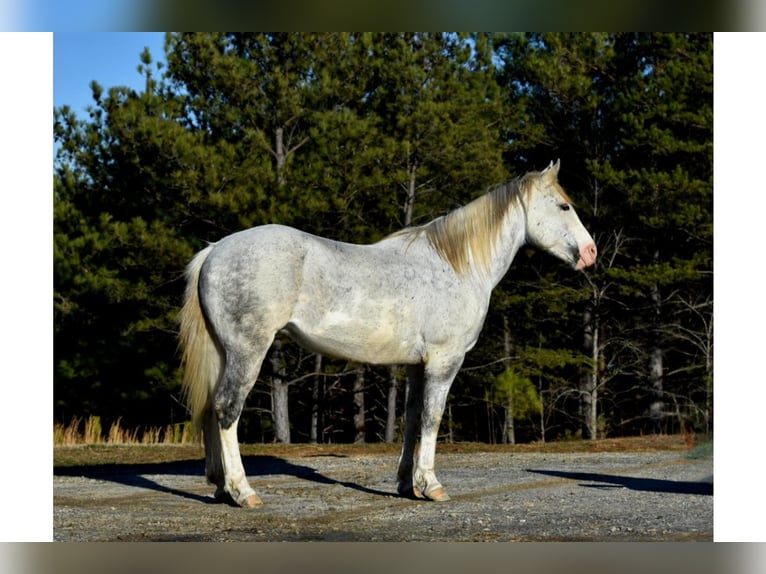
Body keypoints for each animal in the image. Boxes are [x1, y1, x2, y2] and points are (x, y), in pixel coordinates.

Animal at [182, 161, 600, 508]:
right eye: (564, 206)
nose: (591, 252)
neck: (456, 265)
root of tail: (215, 251)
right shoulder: (444, 361)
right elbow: (432, 417)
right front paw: (431, 486)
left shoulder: (417, 365)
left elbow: (412, 419)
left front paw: (406, 484)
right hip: (248, 351)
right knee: (227, 409)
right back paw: (243, 491)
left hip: (223, 353)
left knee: (210, 410)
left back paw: (220, 487)